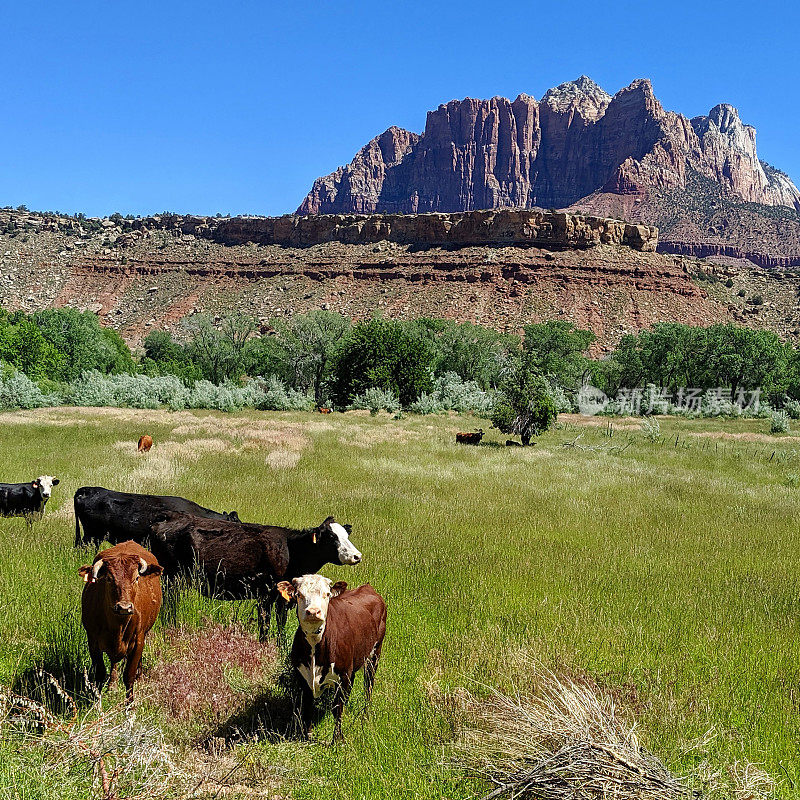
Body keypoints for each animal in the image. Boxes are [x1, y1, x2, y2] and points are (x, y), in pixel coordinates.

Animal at [79, 540, 165, 704]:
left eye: (136, 578)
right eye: (109, 578)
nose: (124, 607)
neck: (117, 626)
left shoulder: (138, 641)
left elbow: (129, 676)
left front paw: (129, 705)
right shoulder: (92, 640)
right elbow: (100, 674)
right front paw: (97, 703)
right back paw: (112, 685)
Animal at [276, 576, 386, 744]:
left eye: (327, 594)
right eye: (299, 594)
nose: (313, 612)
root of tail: (367, 587)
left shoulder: (342, 676)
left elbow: (337, 708)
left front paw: (337, 739)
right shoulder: (301, 676)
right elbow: (307, 705)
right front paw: (307, 735)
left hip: (375, 653)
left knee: (368, 685)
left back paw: (366, 715)